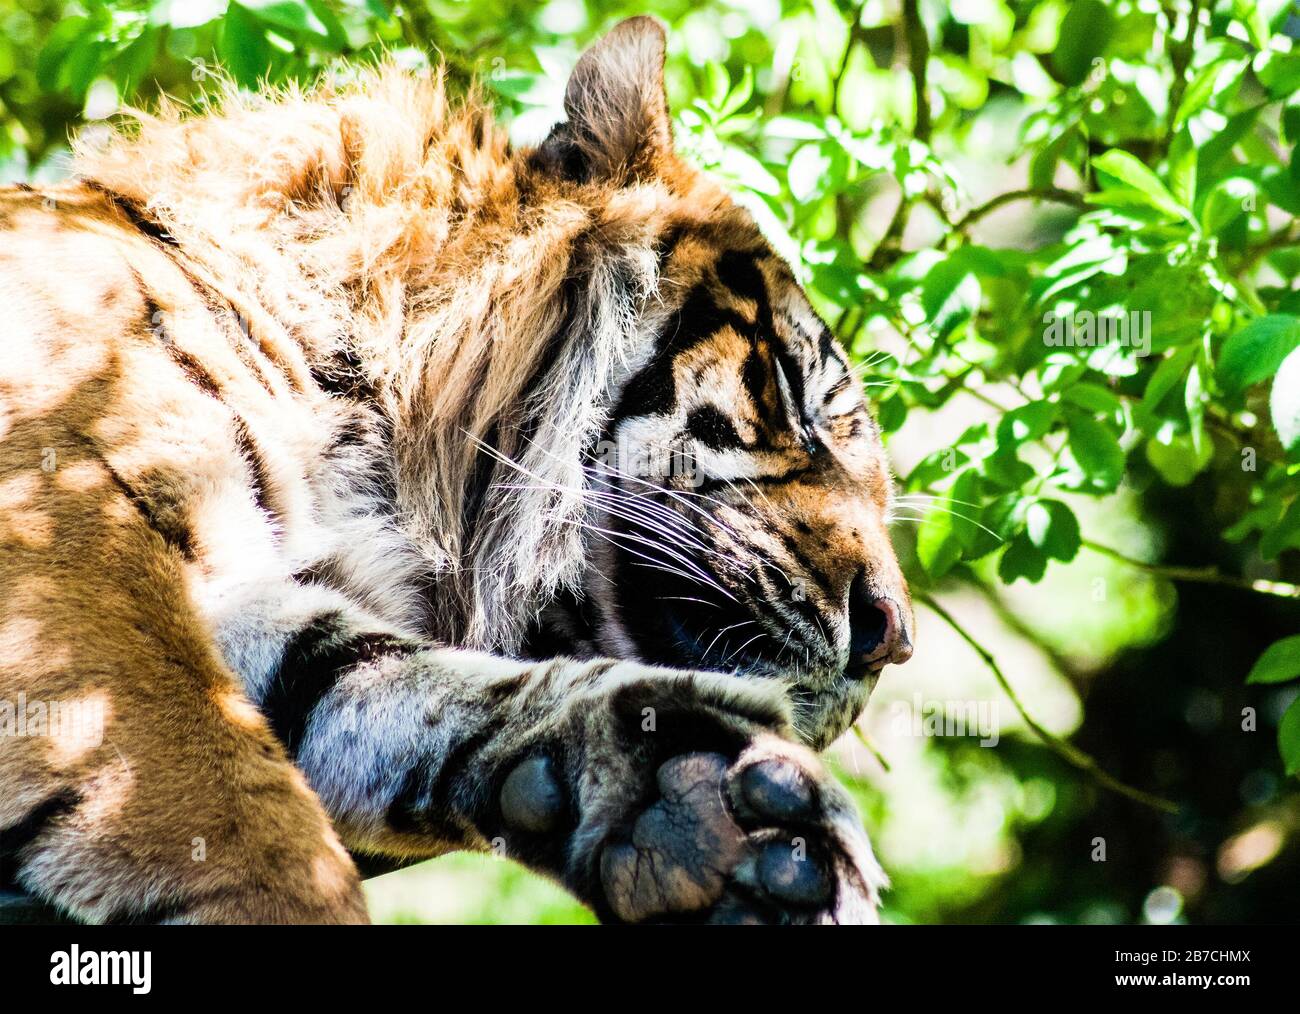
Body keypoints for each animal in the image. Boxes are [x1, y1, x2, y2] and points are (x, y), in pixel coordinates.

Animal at [0, 16, 913, 925]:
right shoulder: (73, 526)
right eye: (796, 399)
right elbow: (233, 815)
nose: (892, 639)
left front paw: (701, 802)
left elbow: (375, 680)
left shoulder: (250, 596)